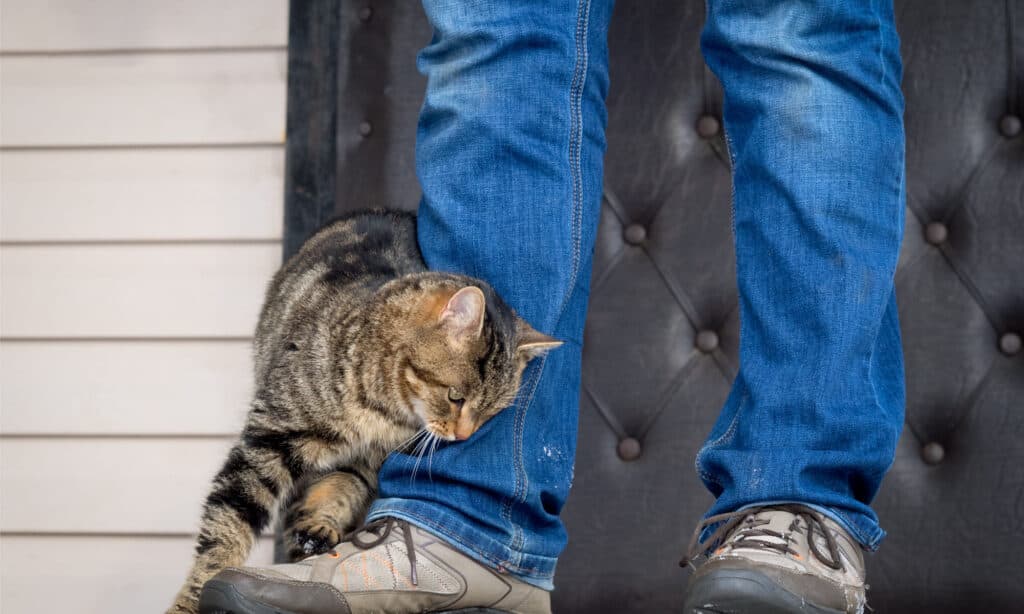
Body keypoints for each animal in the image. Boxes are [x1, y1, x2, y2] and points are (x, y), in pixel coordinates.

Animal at [167, 210, 561, 614]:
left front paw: (320, 523)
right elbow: (228, 525)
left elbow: (342, 487)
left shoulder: (369, 463)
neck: (384, 411)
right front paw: (193, 598)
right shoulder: (270, 438)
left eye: (490, 413)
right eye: (456, 397)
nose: (463, 435)